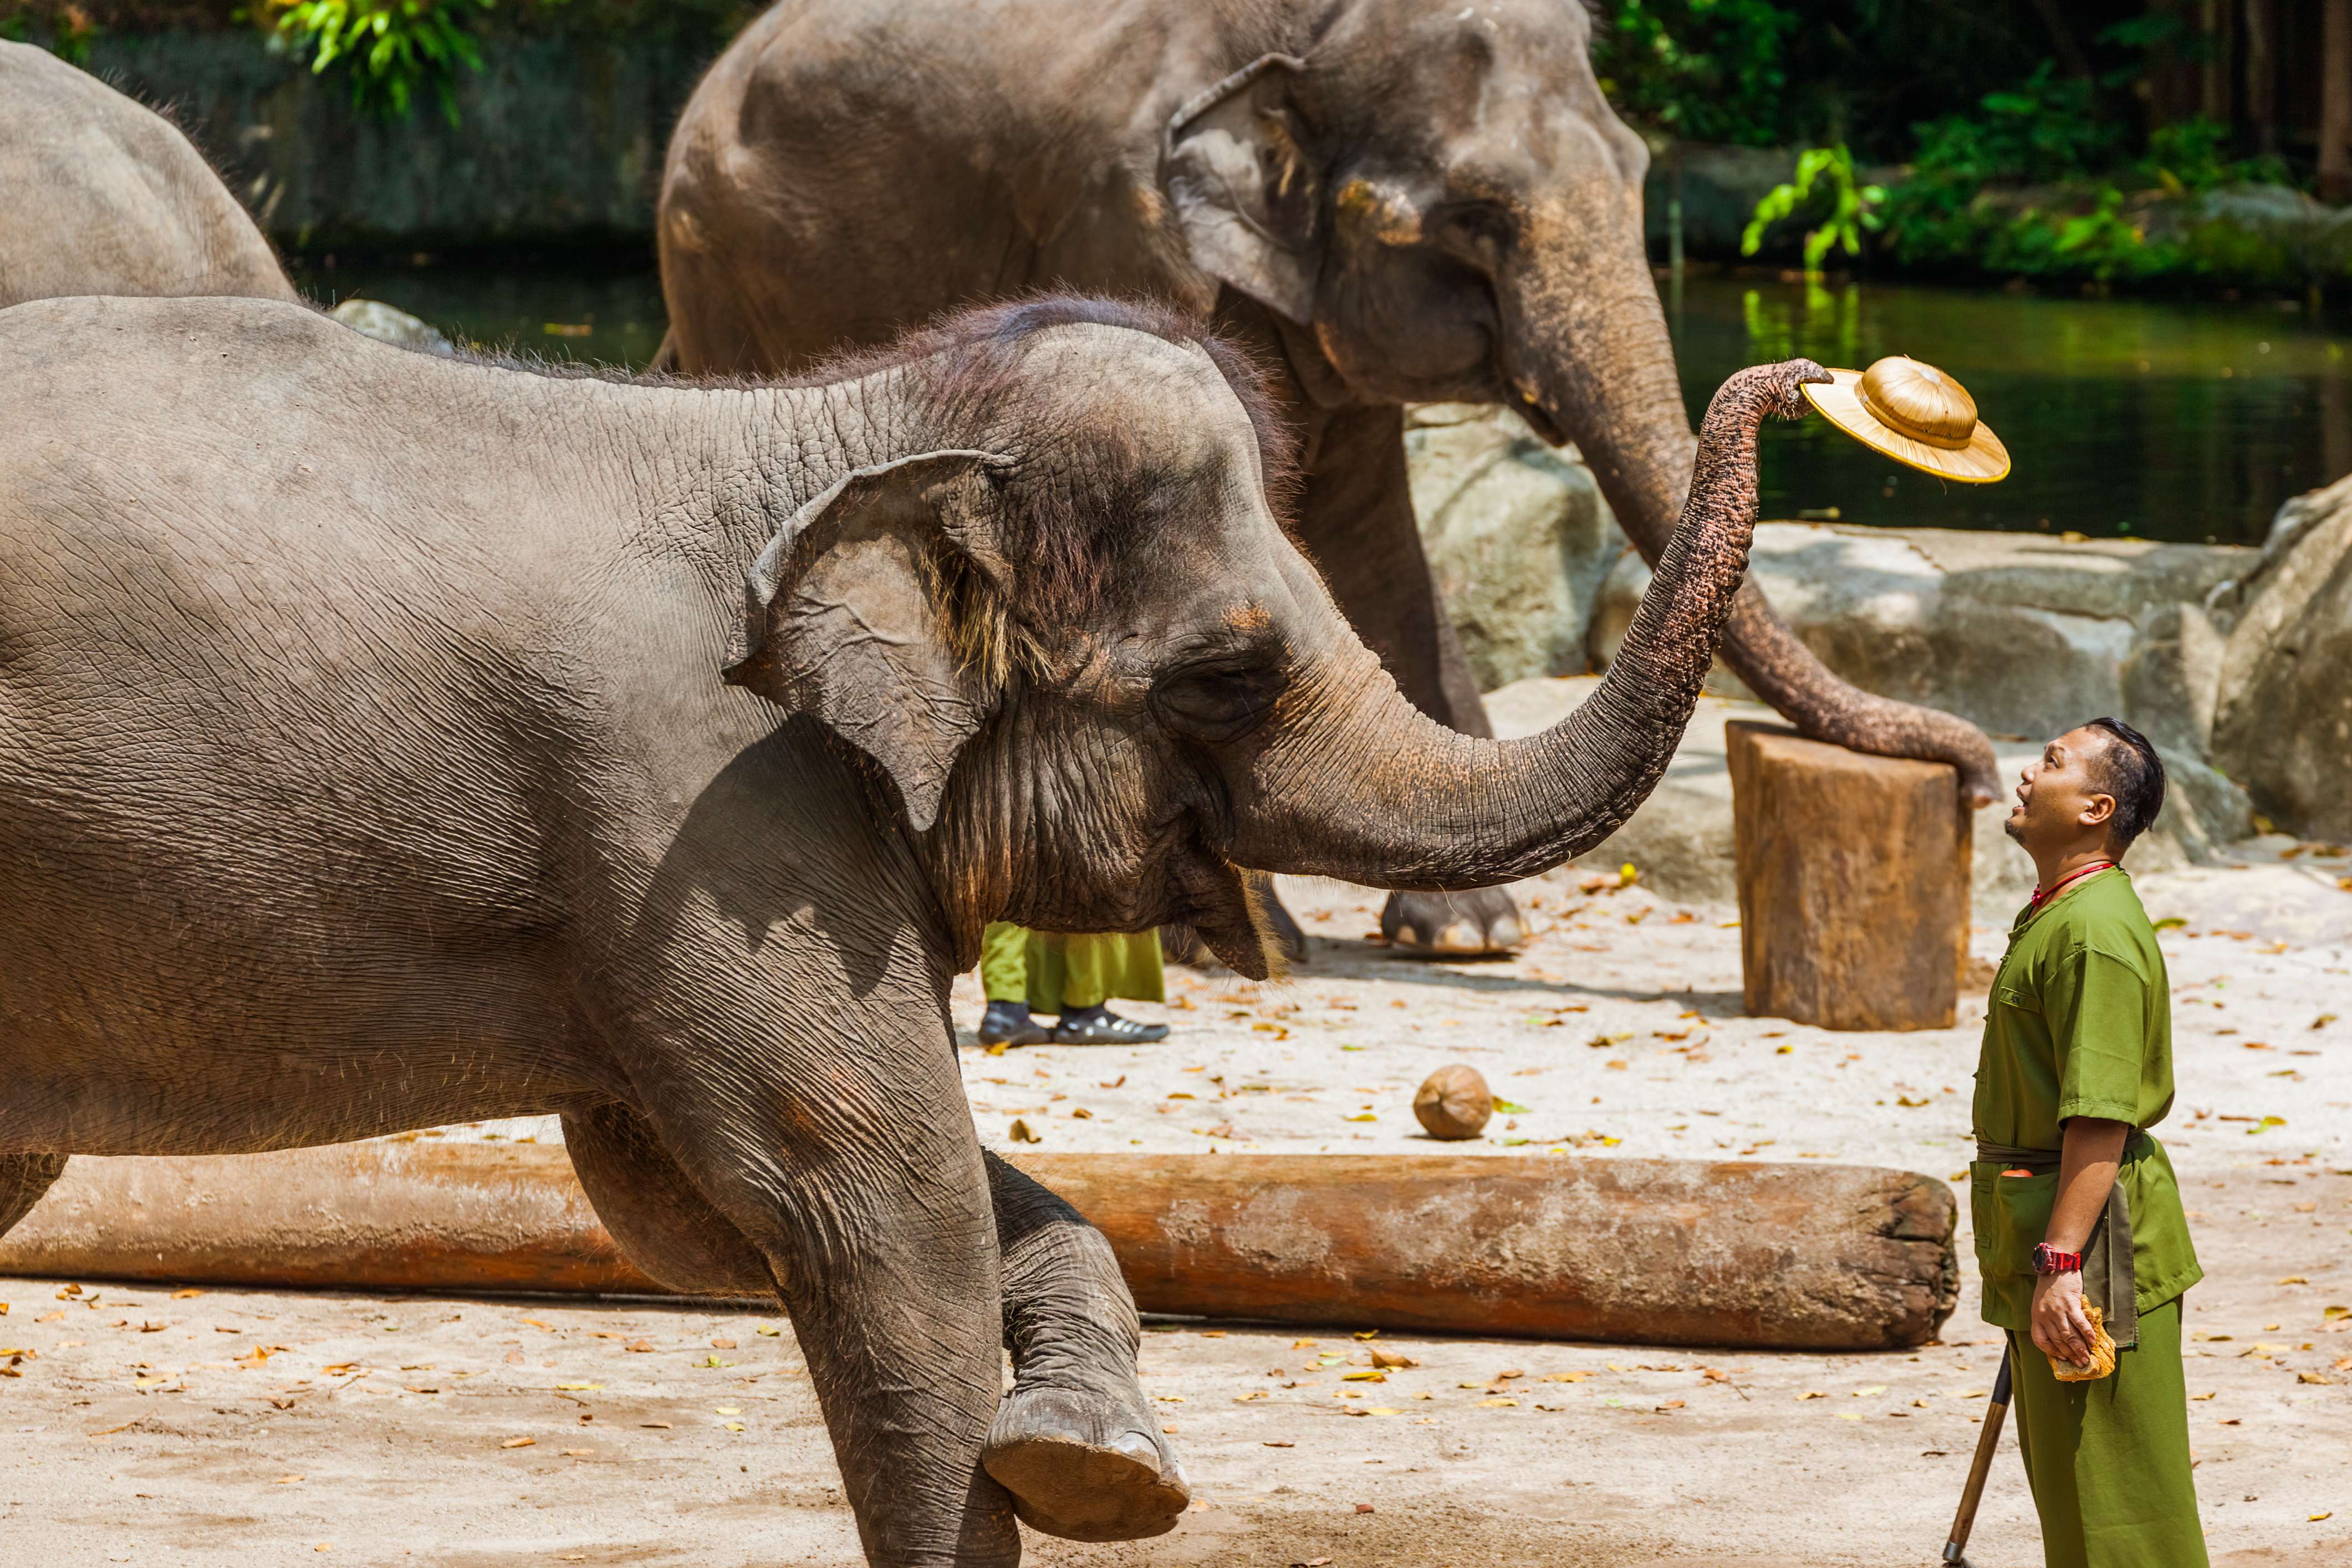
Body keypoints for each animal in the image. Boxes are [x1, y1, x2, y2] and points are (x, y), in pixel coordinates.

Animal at [0, 283, 1825, 1562]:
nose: (1800, 377)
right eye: (1225, 675)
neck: (842, 420)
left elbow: (694, 1214)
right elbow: (872, 1208)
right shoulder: (707, 807)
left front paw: (1094, 1461)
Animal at [654, 0, 2001, 958]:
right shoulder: (1121, 213)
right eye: (1469, 218)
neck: (1308, 31)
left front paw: (1472, 936)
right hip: (725, 253)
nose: (1982, 772)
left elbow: (1367, 516)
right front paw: (1251, 944)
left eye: (1635, 170)